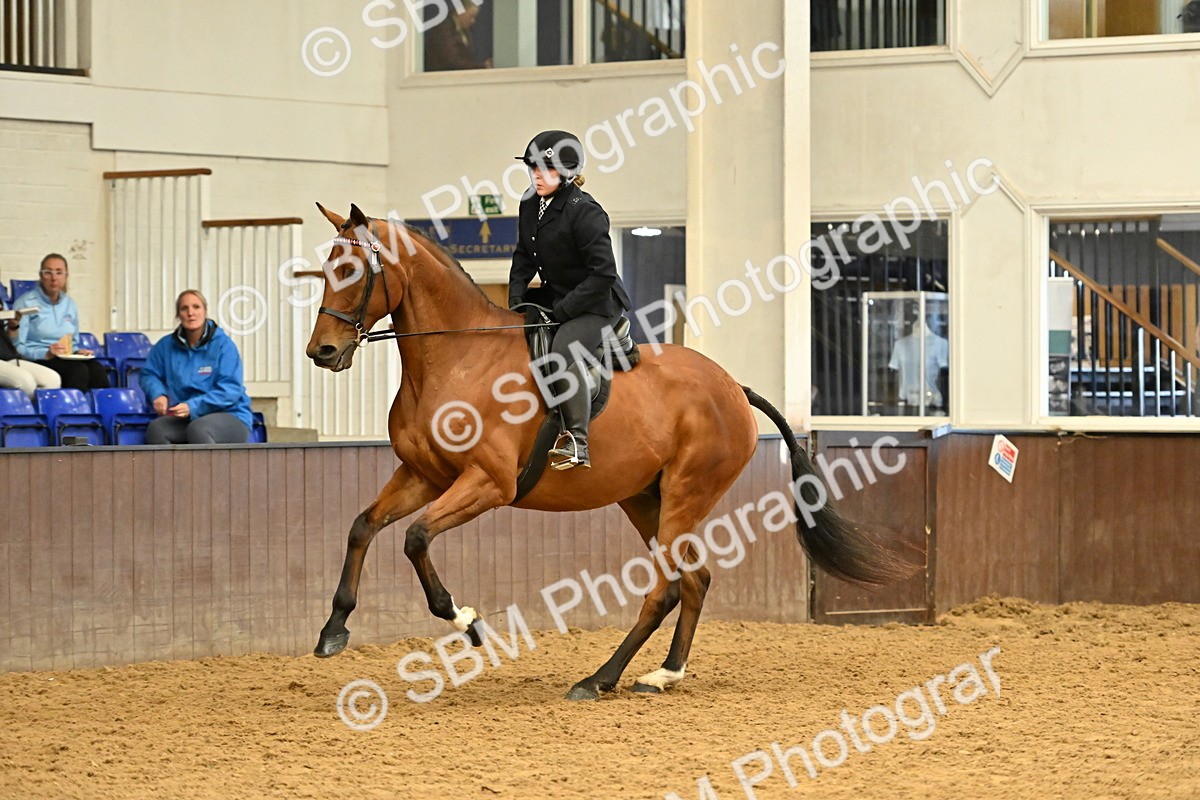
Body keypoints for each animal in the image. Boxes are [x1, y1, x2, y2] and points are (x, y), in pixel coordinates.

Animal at [306, 203, 906, 700]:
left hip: (685, 495)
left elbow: (415, 538)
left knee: (665, 589)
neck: (455, 358)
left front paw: (465, 620)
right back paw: (662, 674)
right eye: (326, 267)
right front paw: (334, 630)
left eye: (353, 271)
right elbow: (363, 527)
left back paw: (599, 679)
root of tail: (734, 387)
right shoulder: (422, 475)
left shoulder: (487, 483)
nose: (322, 352)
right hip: (645, 500)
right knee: (693, 580)